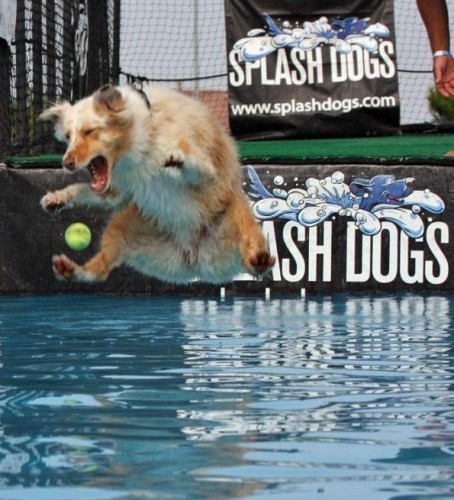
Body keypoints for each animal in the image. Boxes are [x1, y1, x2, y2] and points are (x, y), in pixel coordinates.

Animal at [39, 84, 275, 284]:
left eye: (89, 131)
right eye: (68, 137)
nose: (66, 163)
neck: (143, 141)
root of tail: (192, 257)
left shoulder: (207, 175)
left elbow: (195, 164)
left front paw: (180, 158)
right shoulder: (117, 193)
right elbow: (82, 189)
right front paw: (58, 198)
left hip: (236, 220)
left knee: (250, 251)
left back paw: (258, 261)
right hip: (123, 229)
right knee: (101, 269)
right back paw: (72, 271)